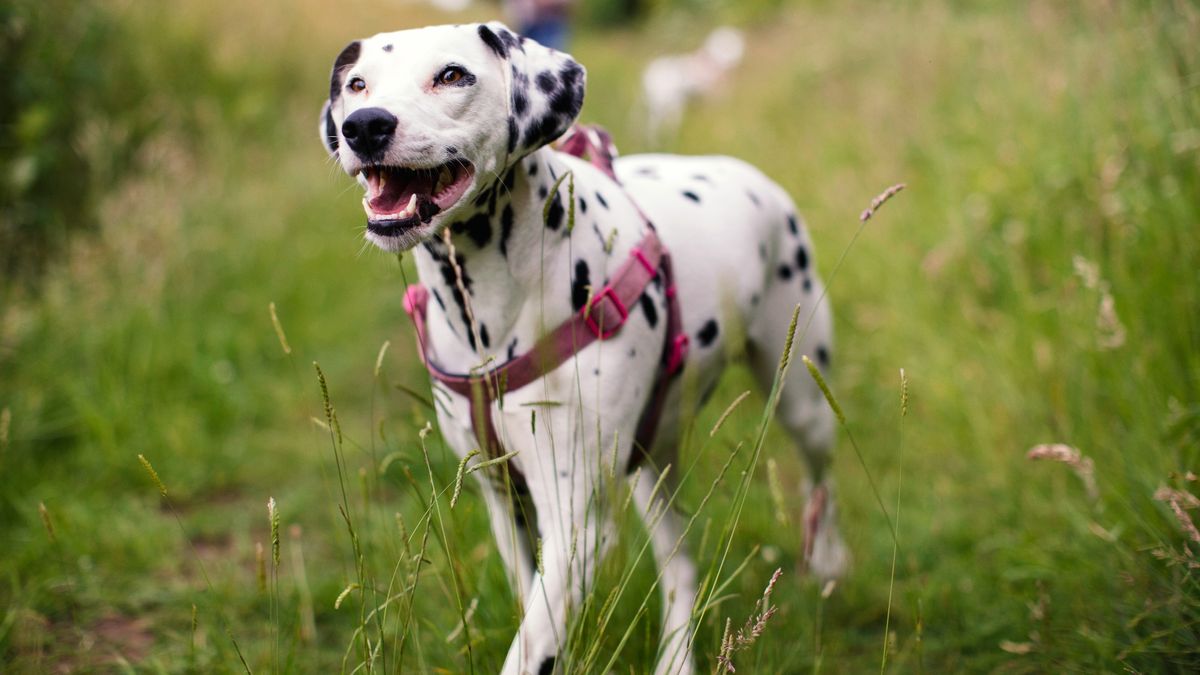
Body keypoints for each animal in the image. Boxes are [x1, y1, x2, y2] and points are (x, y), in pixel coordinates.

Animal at [319, 21, 844, 672]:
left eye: (452, 75)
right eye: (356, 84)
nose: (364, 125)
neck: (488, 316)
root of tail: (745, 172)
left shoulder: (576, 526)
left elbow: (527, 649)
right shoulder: (505, 502)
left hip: (802, 397)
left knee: (822, 479)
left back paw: (828, 559)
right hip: (649, 461)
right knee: (679, 560)